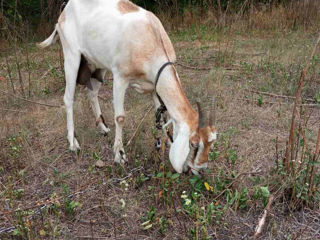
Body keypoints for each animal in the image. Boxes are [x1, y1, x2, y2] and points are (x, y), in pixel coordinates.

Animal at [38, 0, 218, 172]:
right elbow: (120, 117)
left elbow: (161, 116)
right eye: (194, 144)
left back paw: (103, 128)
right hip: (71, 56)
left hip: (97, 64)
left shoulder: (155, 85)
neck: (150, 38)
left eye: (212, 142)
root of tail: (64, 11)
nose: (200, 168)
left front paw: (164, 144)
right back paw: (73, 143)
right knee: (68, 98)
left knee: (92, 93)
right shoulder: (120, 78)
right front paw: (119, 154)